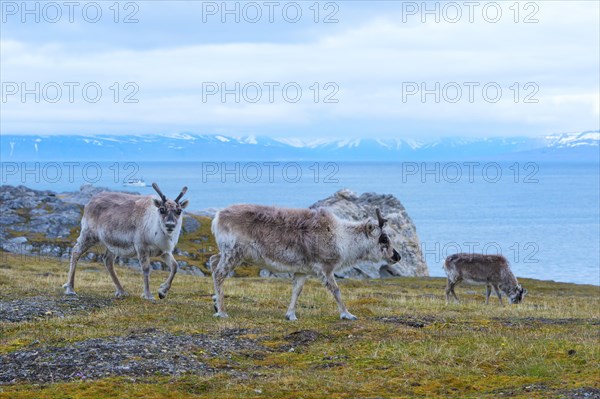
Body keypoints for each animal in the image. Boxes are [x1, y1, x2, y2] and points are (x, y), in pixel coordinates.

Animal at [209, 205, 400, 320]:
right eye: (384, 238)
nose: (397, 256)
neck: (343, 239)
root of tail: (217, 216)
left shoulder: (302, 271)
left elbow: (297, 290)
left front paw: (291, 315)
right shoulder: (325, 267)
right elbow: (336, 290)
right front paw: (347, 314)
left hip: (229, 253)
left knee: (212, 261)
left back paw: (215, 303)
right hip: (233, 252)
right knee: (219, 274)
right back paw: (222, 312)